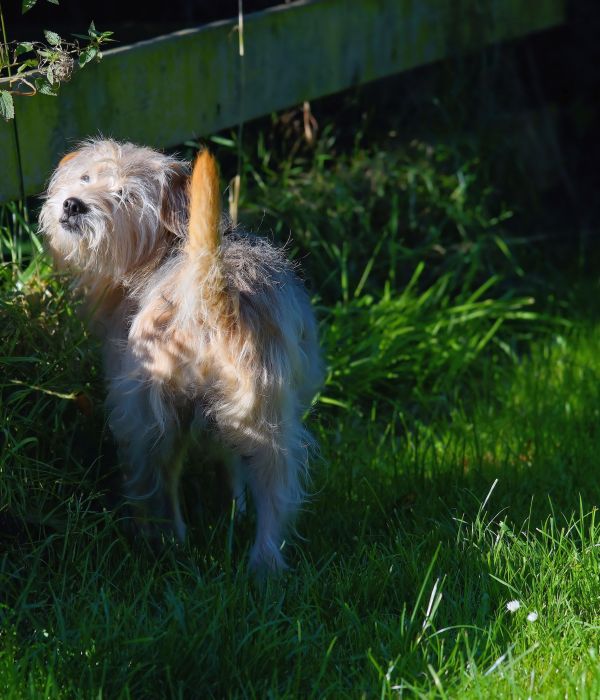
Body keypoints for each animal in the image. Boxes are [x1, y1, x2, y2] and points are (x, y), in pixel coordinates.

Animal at [41, 138, 324, 576]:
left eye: (123, 195)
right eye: (86, 177)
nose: (73, 203)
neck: (162, 248)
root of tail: (210, 289)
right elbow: (229, 464)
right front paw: (234, 508)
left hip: (146, 415)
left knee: (155, 479)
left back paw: (162, 540)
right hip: (266, 418)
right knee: (274, 489)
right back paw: (265, 565)